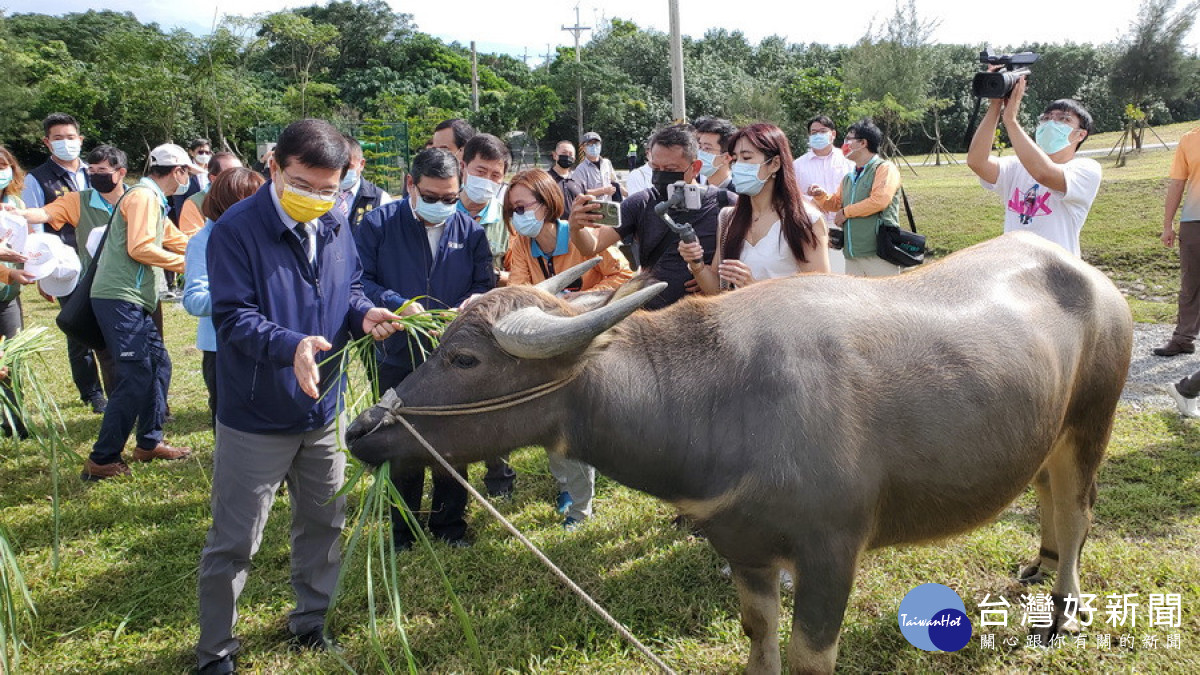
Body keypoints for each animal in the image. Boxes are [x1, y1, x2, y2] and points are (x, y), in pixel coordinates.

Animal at [348, 233, 1132, 672]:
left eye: (465, 358)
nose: (361, 430)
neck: (723, 396)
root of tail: (1089, 276)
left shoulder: (830, 553)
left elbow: (813, 656)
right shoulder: (745, 549)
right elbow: (760, 639)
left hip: (1090, 424)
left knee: (1078, 510)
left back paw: (1063, 609)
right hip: (1044, 433)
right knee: (1045, 494)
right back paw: (1037, 563)